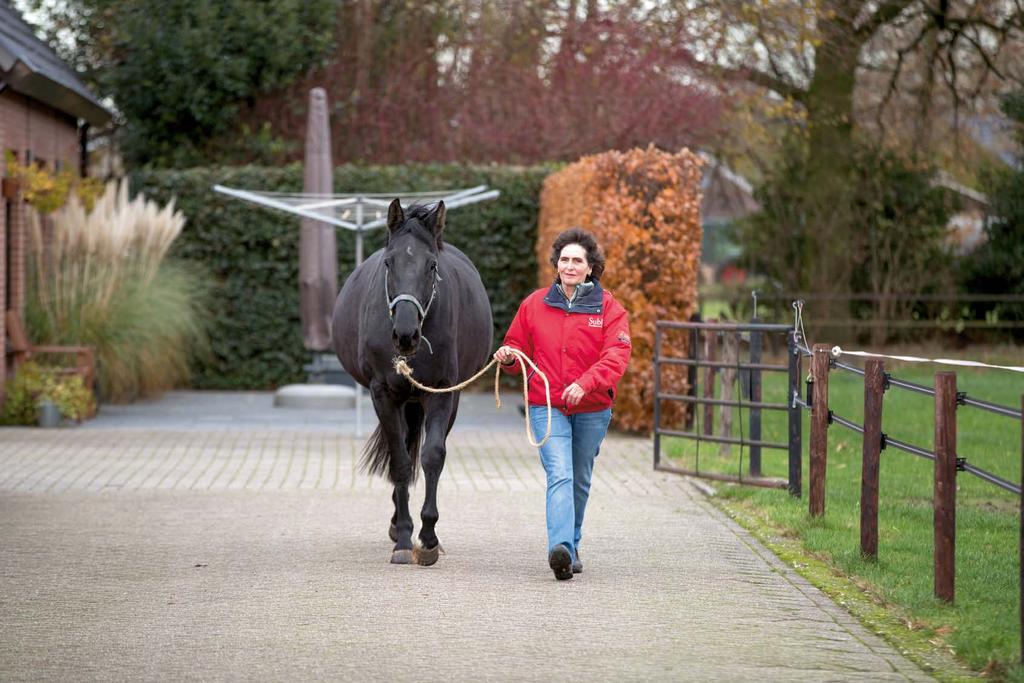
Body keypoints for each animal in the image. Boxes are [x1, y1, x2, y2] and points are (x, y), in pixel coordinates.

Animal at [333, 198, 493, 565]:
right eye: (389, 262)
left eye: (432, 265)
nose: (405, 335)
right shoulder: (383, 394)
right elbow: (400, 462)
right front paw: (405, 538)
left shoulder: (442, 393)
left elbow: (432, 455)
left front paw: (429, 537)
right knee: (403, 450)